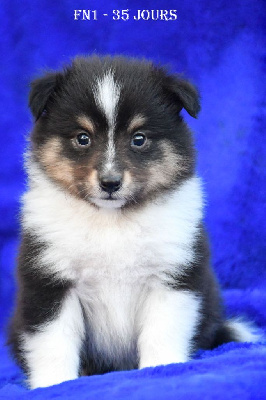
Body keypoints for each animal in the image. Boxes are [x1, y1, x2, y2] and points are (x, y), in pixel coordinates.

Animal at [8, 55, 260, 388]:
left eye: (139, 139)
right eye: (82, 138)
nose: (110, 182)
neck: (112, 220)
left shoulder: (171, 275)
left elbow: (161, 332)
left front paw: (162, 369)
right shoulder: (49, 278)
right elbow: (53, 340)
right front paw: (54, 384)